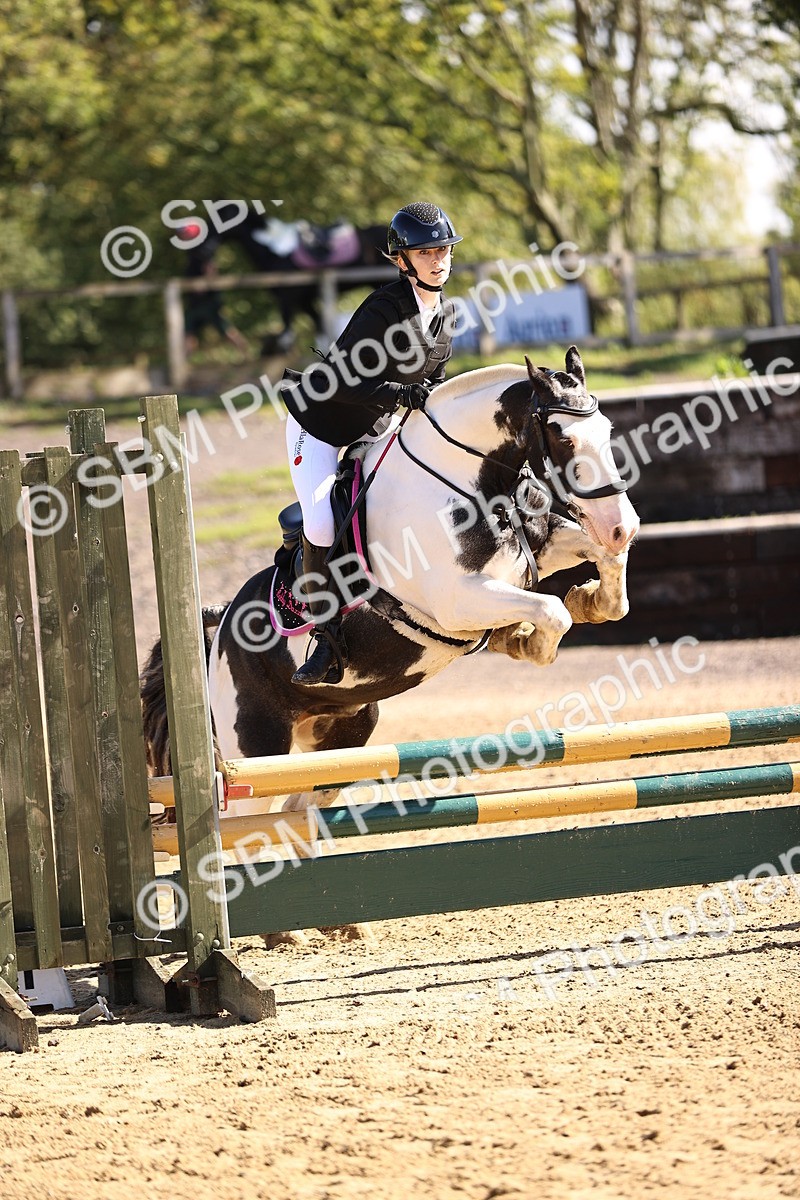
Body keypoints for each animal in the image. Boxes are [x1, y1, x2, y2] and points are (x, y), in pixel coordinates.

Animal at [141, 346, 639, 943]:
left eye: (607, 431)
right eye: (562, 440)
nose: (623, 524)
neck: (471, 481)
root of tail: (217, 633)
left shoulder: (535, 552)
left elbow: (601, 572)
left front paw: (589, 601)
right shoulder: (457, 599)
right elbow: (550, 611)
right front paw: (525, 641)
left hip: (343, 740)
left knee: (295, 810)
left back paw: (326, 924)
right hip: (256, 750)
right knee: (242, 825)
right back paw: (271, 932)